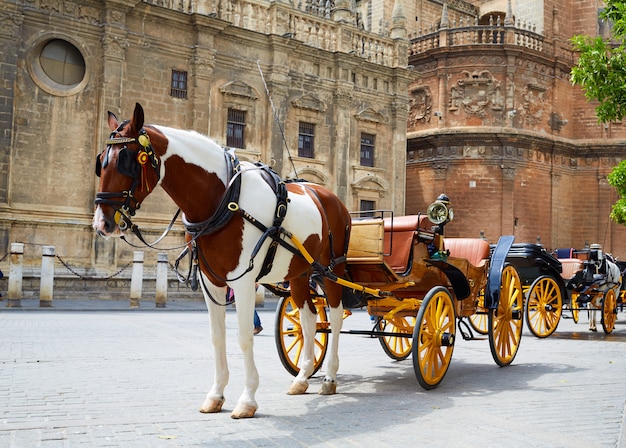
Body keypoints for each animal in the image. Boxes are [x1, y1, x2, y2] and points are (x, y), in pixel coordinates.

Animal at [95, 103, 354, 418]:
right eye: (101, 161)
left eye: (127, 161)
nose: (102, 223)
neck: (224, 198)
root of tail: (330, 197)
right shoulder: (210, 281)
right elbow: (217, 336)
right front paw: (216, 394)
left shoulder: (242, 281)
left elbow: (244, 336)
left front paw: (247, 399)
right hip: (300, 273)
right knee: (308, 319)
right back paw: (302, 378)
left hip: (332, 268)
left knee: (336, 316)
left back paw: (329, 377)